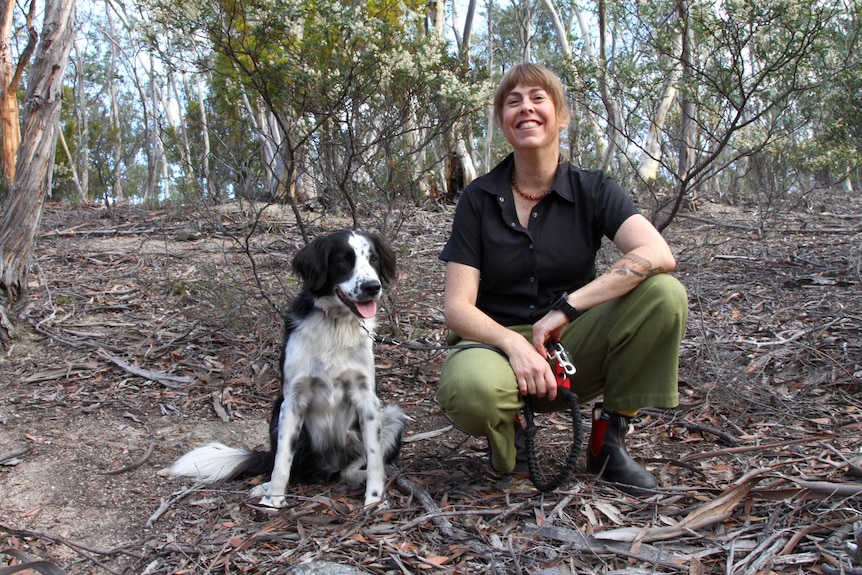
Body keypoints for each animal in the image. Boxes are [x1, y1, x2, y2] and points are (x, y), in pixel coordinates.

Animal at [165, 231, 408, 508]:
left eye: (374, 259)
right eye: (344, 260)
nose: (372, 287)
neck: (335, 325)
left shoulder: (367, 398)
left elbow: (375, 458)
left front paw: (375, 501)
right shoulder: (292, 401)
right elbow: (282, 462)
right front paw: (273, 500)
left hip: (392, 416)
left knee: (346, 471)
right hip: (276, 414)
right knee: (288, 466)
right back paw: (265, 487)